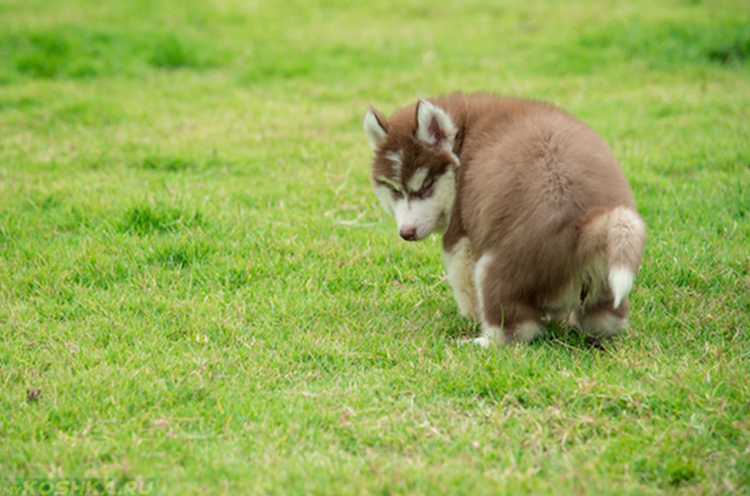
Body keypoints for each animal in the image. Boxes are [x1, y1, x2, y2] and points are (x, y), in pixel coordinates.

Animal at [364, 94, 648, 348]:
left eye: (425, 187)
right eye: (395, 191)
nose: (406, 233)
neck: (463, 139)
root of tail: (584, 224)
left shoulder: (461, 234)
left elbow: (462, 281)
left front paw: (469, 316)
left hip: (495, 267)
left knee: (517, 328)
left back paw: (479, 341)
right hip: (604, 280)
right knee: (606, 320)